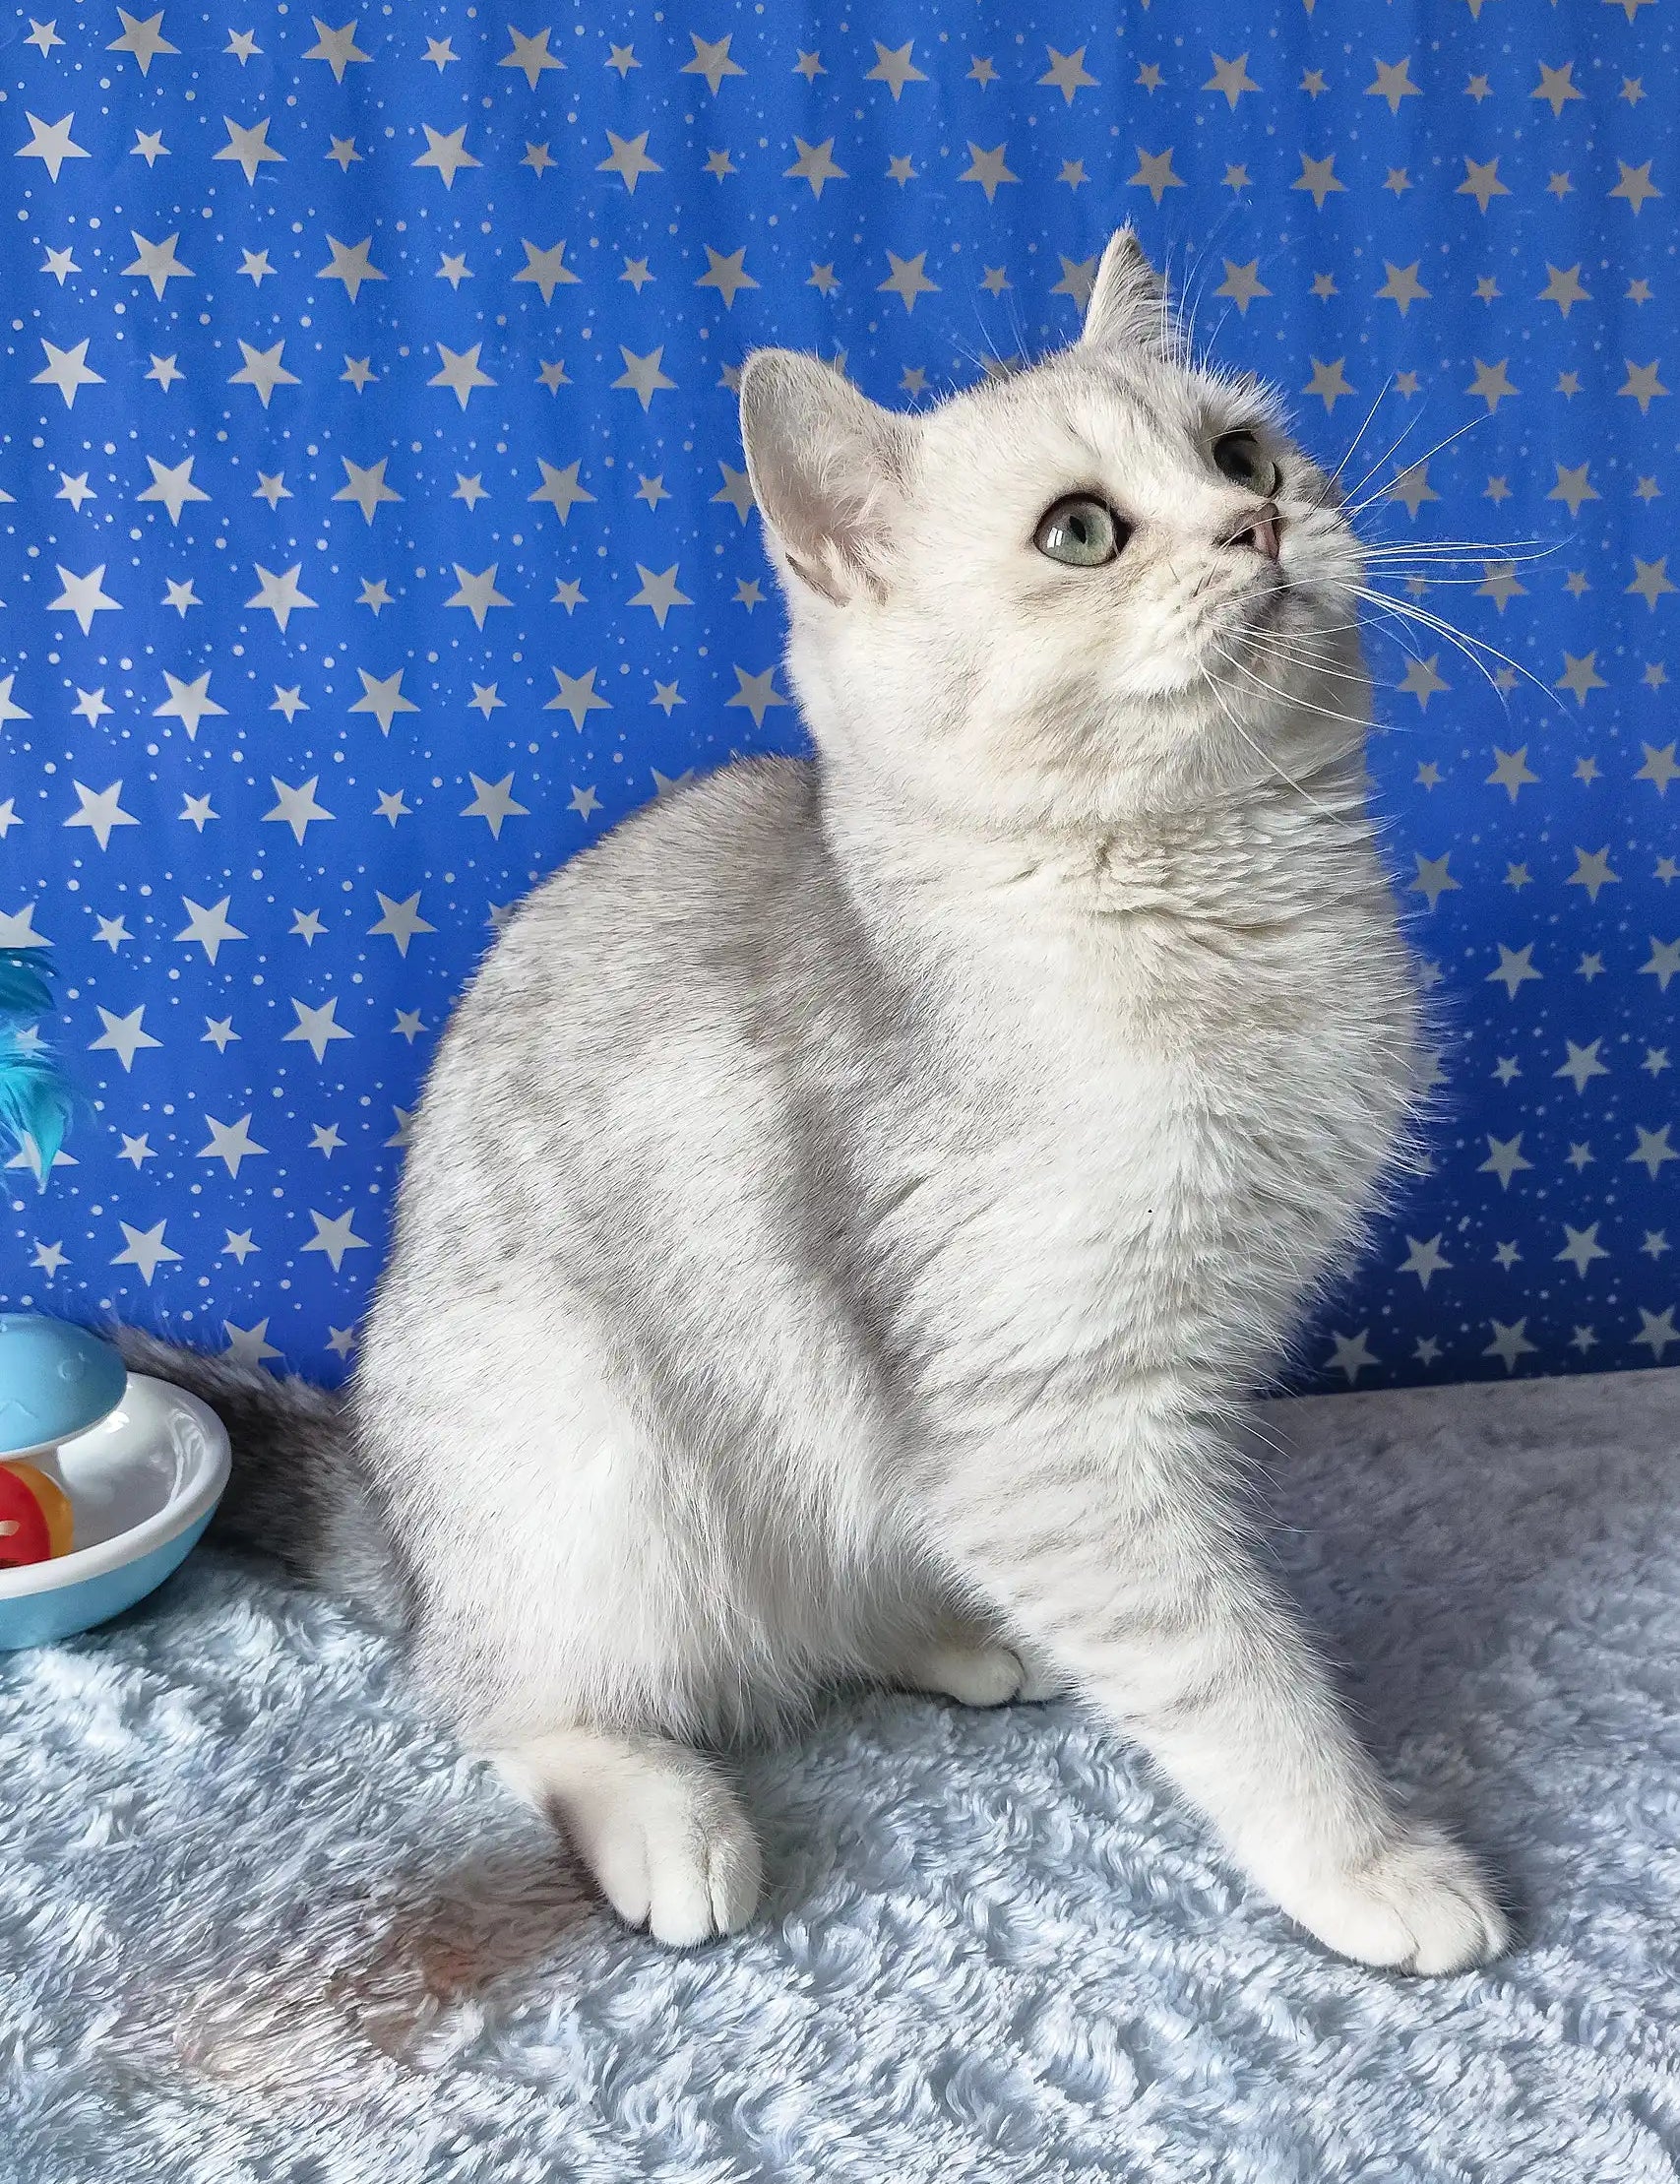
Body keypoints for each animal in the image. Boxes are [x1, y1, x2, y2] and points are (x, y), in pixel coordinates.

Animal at [121, 225, 1503, 1982]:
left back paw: (957, 1635)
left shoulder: (1049, 1423)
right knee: (494, 1691)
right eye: (1079, 531)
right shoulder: (1050, 1415)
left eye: (1242, 453)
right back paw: (663, 1807)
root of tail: (404, 1522)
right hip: (596, 1458)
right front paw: (1365, 1854)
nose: (1257, 521)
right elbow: (1231, 1665)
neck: (1211, 898)